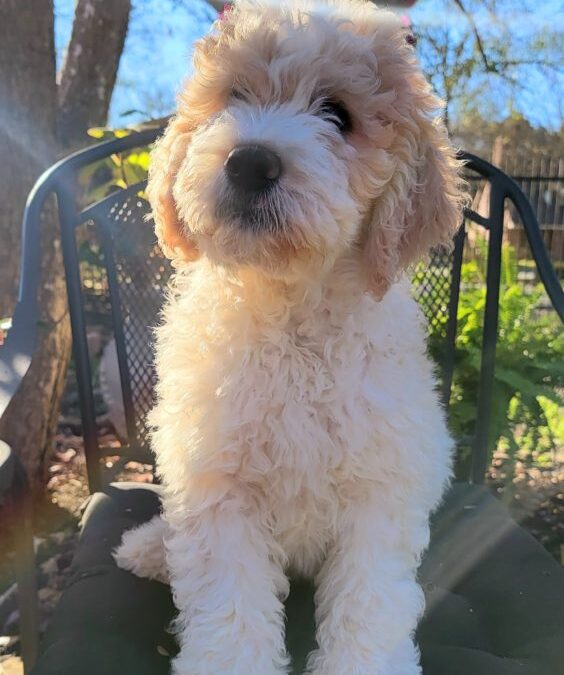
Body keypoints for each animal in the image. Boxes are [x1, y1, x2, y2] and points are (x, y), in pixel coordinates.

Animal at [113, 2, 462, 672]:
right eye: (234, 95)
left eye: (339, 114)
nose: (250, 161)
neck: (291, 311)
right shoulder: (218, 487)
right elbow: (230, 615)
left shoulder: (380, 491)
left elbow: (368, 610)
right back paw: (147, 547)